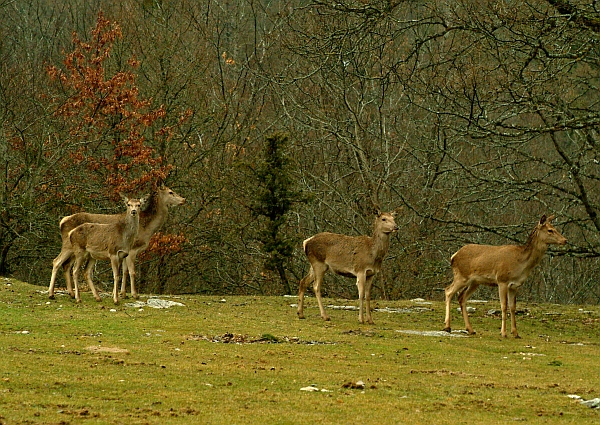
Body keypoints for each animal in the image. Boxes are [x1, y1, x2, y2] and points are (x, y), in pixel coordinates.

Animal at [48, 184, 185, 300]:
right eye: (171, 192)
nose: (183, 199)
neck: (147, 229)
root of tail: (62, 221)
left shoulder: (125, 251)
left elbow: (124, 271)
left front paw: (122, 294)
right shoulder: (133, 249)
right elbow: (132, 272)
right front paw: (134, 294)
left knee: (66, 265)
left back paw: (71, 294)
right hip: (68, 245)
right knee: (57, 261)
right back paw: (52, 294)